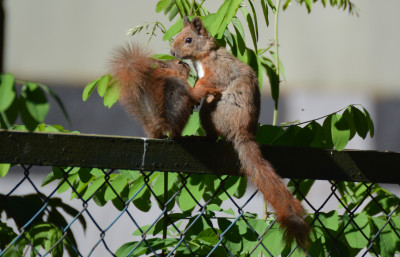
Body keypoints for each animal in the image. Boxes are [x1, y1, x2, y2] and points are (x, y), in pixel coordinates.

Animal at [171, 17, 310, 245]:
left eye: (189, 39)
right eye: (176, 36)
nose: (172, 52)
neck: (204, 56)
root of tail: (243, 133)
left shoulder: (219, 70)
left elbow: (210, 82)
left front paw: (193, 91)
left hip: (213, 112)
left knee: (212, 135)